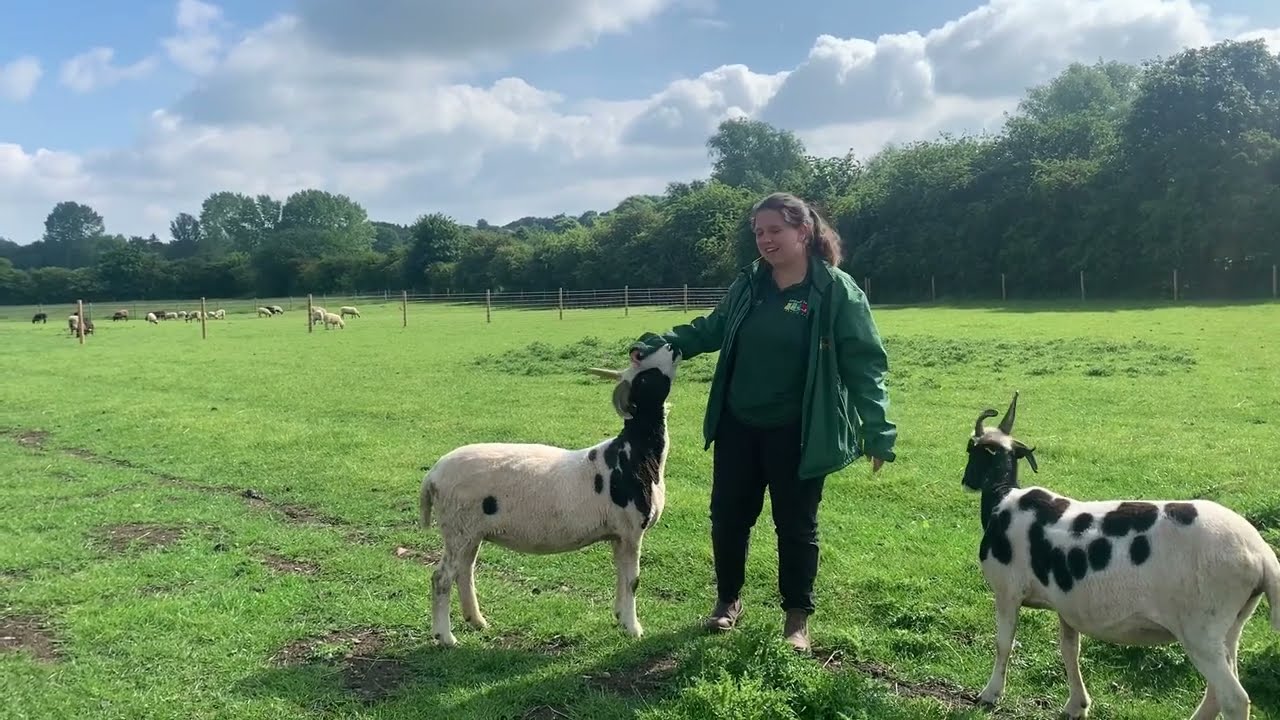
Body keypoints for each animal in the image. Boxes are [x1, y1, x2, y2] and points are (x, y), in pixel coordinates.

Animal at [418, 343, 681, 647]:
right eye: (647, 377)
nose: (671, 345)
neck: (637, 453)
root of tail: (433, 475)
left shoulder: (618, 535)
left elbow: (621, 577)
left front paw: (619, 617)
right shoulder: (631, 530)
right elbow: (633, 581)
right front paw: (634, 628)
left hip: (469, 531)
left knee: (464, 571)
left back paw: (477, 621)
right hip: (458, 527)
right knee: (441, 578)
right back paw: (446, 636)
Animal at [962, 391, 1280, 720]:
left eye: (971, 449)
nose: (967, 480)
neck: (1001, 497)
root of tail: (1262, 555)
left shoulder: (1007, 590)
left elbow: (1004, 643)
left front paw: (990, 694)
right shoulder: (1066, 605)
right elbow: (1069, 650)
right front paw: (1077, 704)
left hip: (1201, 629)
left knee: (1233, 697)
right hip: (1231, 625)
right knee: (1219, 688)